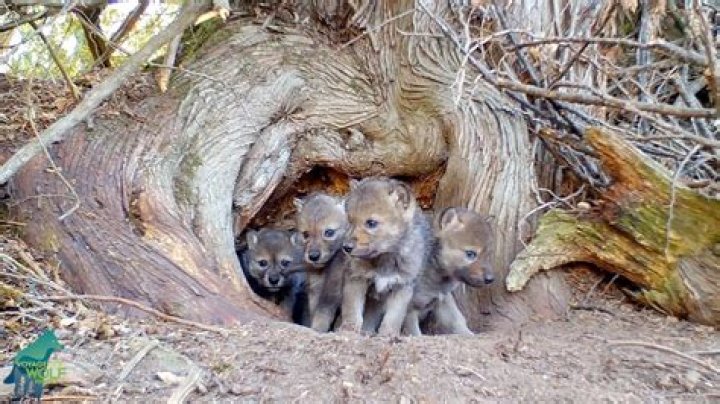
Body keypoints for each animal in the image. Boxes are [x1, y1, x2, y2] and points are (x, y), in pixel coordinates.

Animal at [294, 193, 349, 332]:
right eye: (305, 234)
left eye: (329, 232)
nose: (313, 256)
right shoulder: (315, 289)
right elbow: (316, 312)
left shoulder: (332, 290)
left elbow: (324, 312)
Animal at [340, 177, 432, 336]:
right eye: (350, 220)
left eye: (371, 223)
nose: (346, 247)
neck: (385, 259)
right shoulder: (356, 278)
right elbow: (352, 309)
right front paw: (349, 328)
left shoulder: (403, 286)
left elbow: (393, 317)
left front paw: (388, 334)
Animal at [402, 207, 495, 336]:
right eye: (470, 254)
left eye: (488, 255)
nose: (490, 279)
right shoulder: (410, 308)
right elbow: (414, 332)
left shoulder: (443, 300)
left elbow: (458, 320)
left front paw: (469, 334)